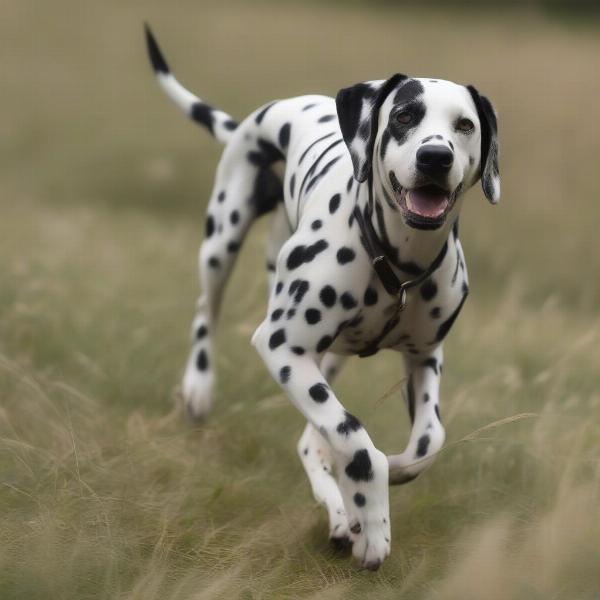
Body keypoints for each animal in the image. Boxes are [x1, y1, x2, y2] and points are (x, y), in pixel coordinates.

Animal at [145, 25, 502, 572]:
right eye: (405, 116)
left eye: (464, 125)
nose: (435, 157)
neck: (397, 264)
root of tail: (279, 106)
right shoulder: (281, 346)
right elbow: (356, 440)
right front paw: (374, 521)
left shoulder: (424, 358)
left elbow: (426, 442)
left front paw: (378, 488)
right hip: (222, 240)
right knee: (207, 311)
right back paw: (199, 387)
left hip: (329, 358)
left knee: (310, 443)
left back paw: (340, 511)